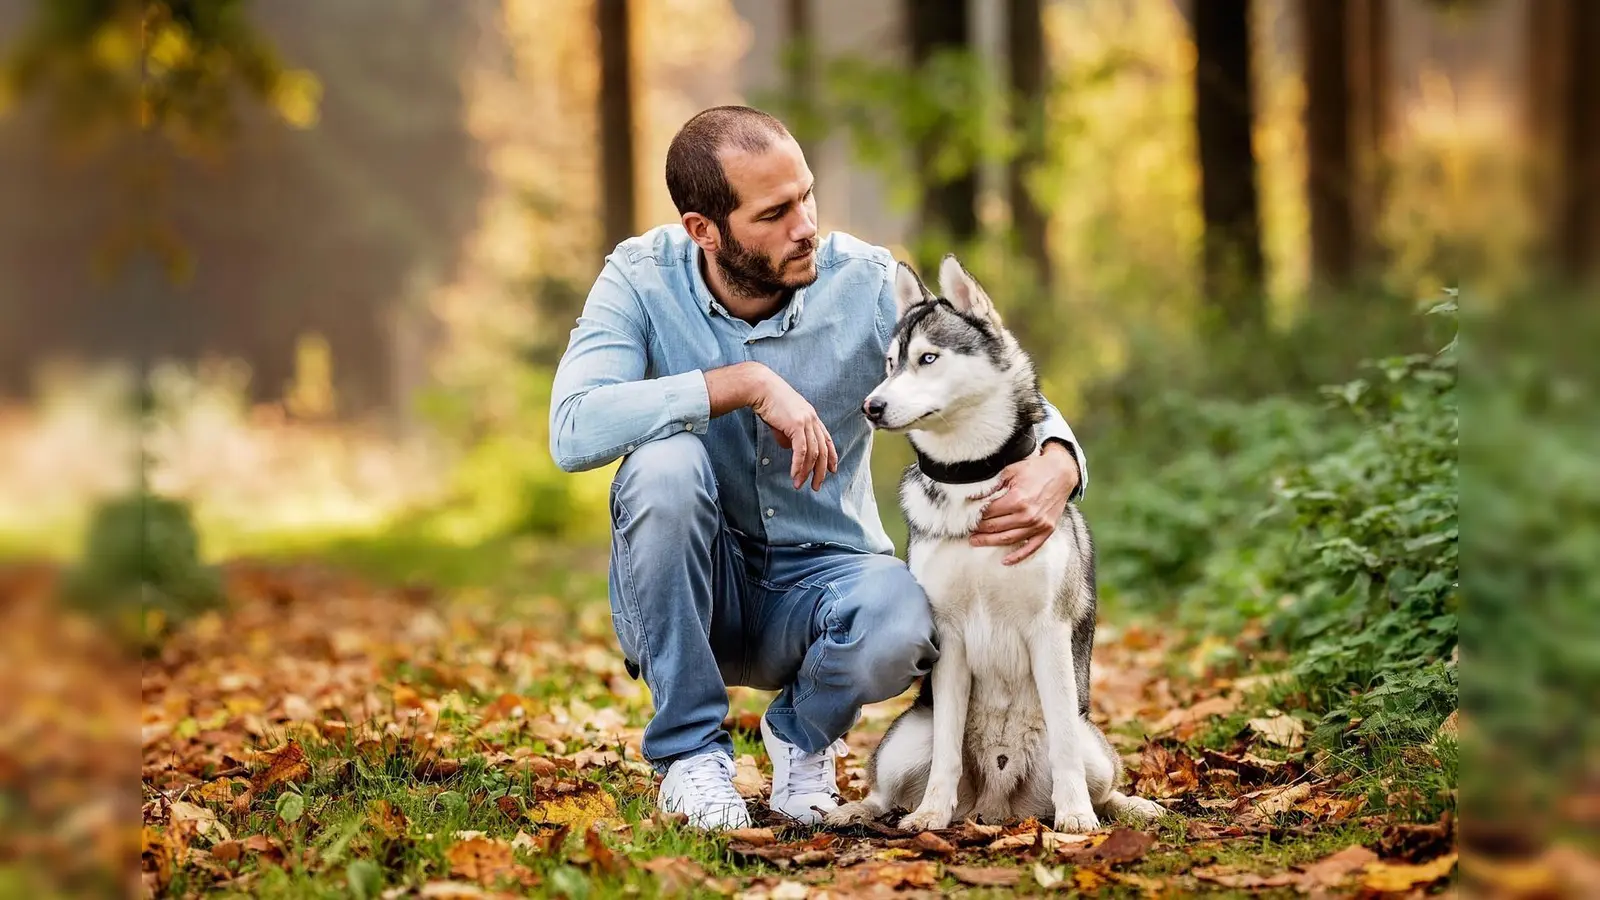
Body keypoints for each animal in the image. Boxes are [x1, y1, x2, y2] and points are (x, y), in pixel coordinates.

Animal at [825, 256, 1164, 832]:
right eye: (891, 363)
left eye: (928, 358)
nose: (871, 405)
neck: (972, 473)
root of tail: (998, 803)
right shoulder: (950, 637)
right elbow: (946, 749)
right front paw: (931, 813)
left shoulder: (1048, 631)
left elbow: (1066, 748)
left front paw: (1076, 818)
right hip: (903, 741)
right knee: (886, 789)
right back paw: (854, 809)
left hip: (1093, 745)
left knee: (1098, 777)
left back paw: (1125, 805)